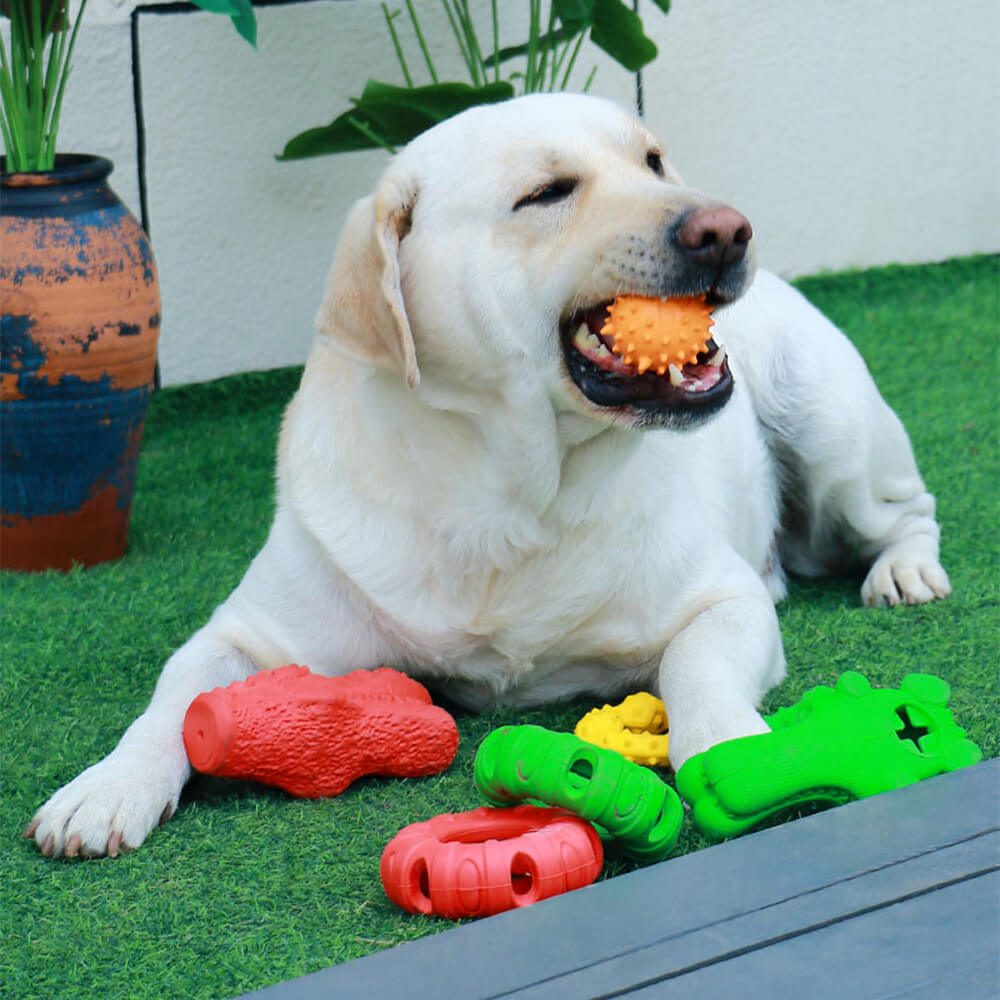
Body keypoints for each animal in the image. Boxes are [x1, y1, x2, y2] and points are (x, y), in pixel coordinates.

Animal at [27, 95, 948, 860]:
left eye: (653, 160)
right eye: (545, 193)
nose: (727, 228)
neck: (510, 491)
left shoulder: (721, 600)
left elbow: (697, 669)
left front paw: (734, 749)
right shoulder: (248, 634)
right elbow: (171, 703)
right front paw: (104, 789)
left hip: (828, 428)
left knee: (909, 510)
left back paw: (904, 571)